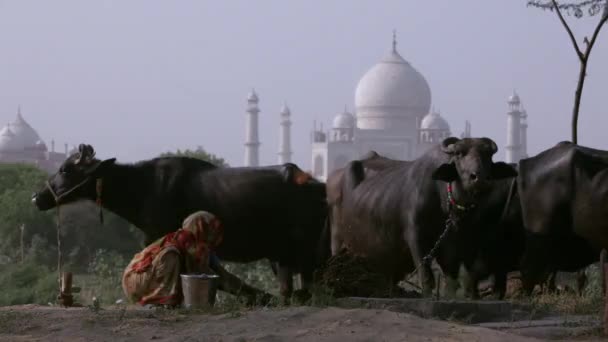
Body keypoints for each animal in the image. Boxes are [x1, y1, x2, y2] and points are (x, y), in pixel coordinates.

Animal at [31, 143, 330, 300]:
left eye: (65, 169)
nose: (37, 197)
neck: (143, 186)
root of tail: (317, 185)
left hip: (302, 251)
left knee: (308, 286)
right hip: (282, 255)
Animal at [338, 136, 516, 296]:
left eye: (488, 155)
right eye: (459, 154)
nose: (479, 178)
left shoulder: (454, 242)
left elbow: (451, 277)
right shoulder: (415, 236)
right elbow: (426, 274)